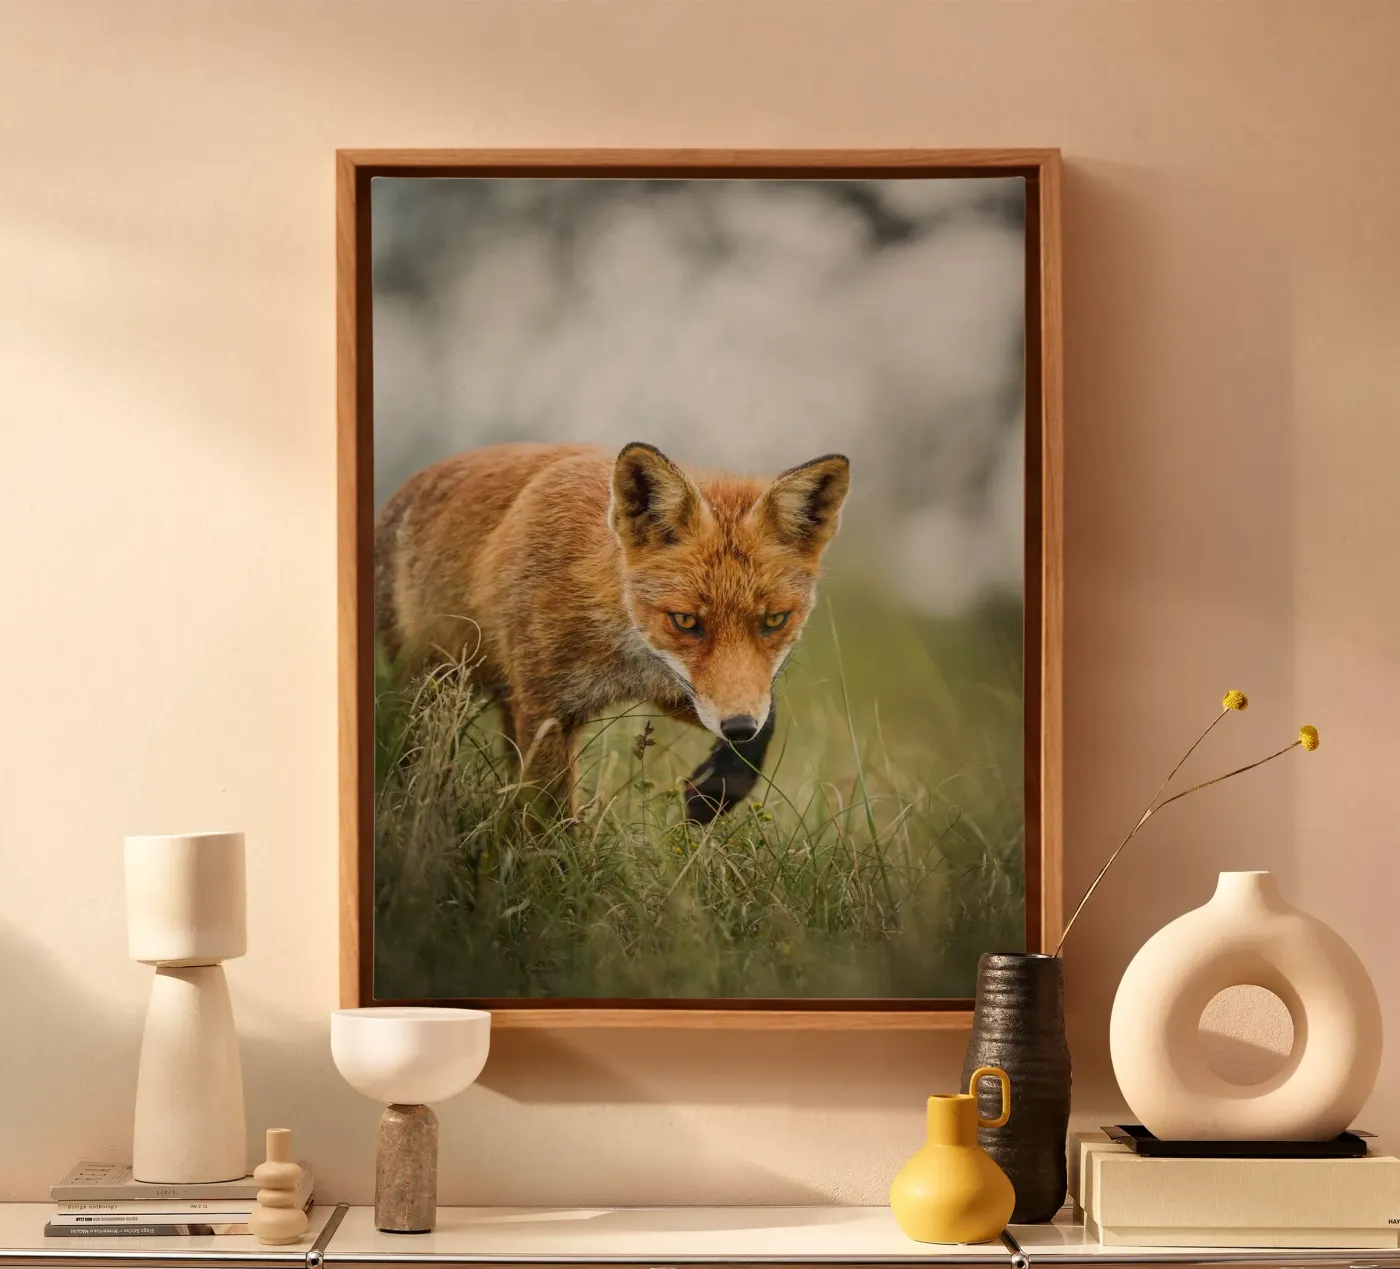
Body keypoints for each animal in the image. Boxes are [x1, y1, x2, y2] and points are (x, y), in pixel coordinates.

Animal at [374, 440, 851, 824]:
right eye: (686, 621)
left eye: (774, 621)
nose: (737, 728)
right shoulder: (547, 710)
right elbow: (548, 817)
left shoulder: (677, 687)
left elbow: (768, 719)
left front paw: (715, 791)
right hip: (428, 694)